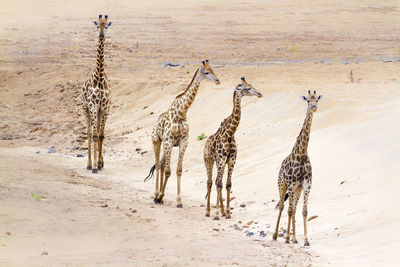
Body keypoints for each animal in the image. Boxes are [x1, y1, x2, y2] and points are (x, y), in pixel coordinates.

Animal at [145, 60, 220, 207]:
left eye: (213, 70)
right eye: (207, 72)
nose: (217, 81)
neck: (181, 112)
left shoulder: (183, 142)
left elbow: (178, 170)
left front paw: (178, 200)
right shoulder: (169, 141)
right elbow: (168, 171)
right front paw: (160, 196)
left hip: (166, 145)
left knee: (161, 163)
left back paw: (160, 197)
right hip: (157, 140)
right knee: (158, 165)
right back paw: (156, 195)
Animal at [203, 77, 262, 220]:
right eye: (248, 88)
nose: (259, 94)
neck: (230, 133)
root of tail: (205, 142)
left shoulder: (231, 160)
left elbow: (228, 184)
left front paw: (228, 213)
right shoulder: (221, 159)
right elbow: (219, 184)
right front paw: (217, 214)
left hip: (220, 163)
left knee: (217, 181)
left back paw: (222, 211)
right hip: (209, 160)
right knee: (210, 182)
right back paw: (208, 211)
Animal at [272, 90, 322, 247]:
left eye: (317, 100)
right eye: (308, 101)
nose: (314, 107)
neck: (301, 154)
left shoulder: (306, 184)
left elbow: (304, 211)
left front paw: (305, 240)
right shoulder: (291, 184)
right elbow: (288, 210)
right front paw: (287, 238)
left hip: (297, 190)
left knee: (293, 209)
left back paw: (294, 238)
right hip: (282, 185)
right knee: (283, 207)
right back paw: (276, 235)